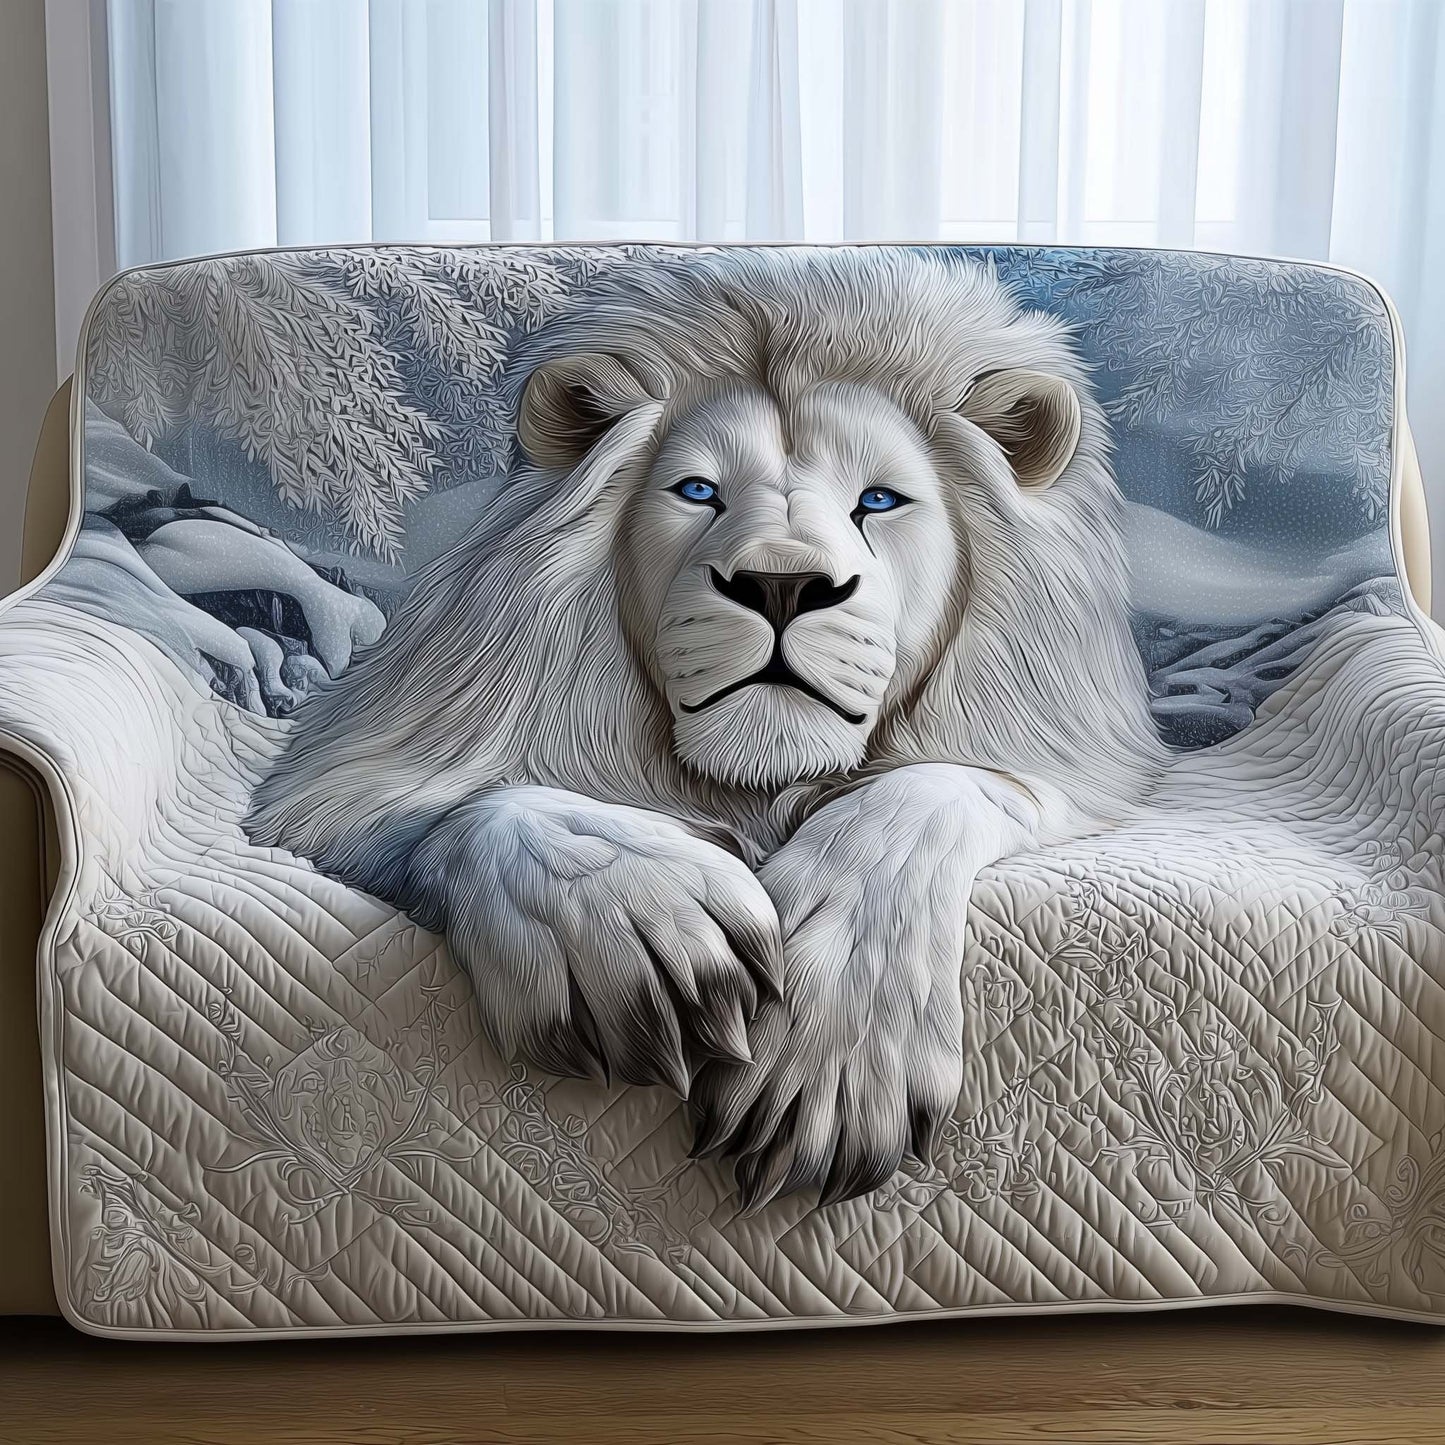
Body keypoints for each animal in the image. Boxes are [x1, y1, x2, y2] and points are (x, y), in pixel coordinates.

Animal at [248, 247, 1165, 1208]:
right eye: (697, 492)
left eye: (879, 500)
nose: (781, 584)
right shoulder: (350, 768)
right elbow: (478, 806)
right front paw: (644, 937)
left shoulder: (1068, 764)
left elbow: (921, 794)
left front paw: (822, 1056)